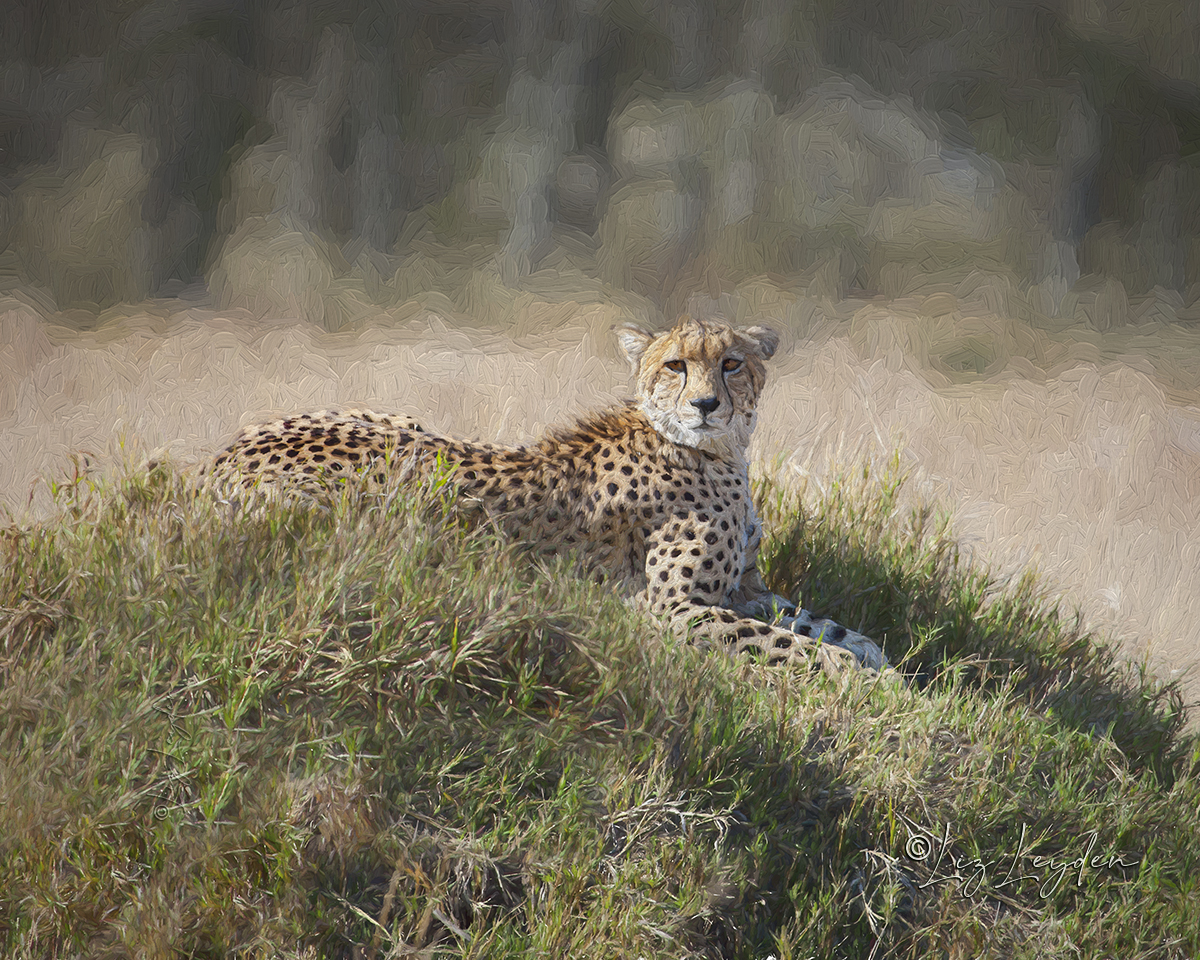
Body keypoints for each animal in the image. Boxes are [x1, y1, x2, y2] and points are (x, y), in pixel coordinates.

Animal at [204, 319, 883, 672]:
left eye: (732, 364)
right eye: (675, 366)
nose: (706, 404)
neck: (717, 453)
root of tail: (219, 459)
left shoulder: (746, 587)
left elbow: (822, 624)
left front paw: (877, 657)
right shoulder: (671, 606)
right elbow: (788, 644)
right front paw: (863, 681)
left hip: (404, 423)